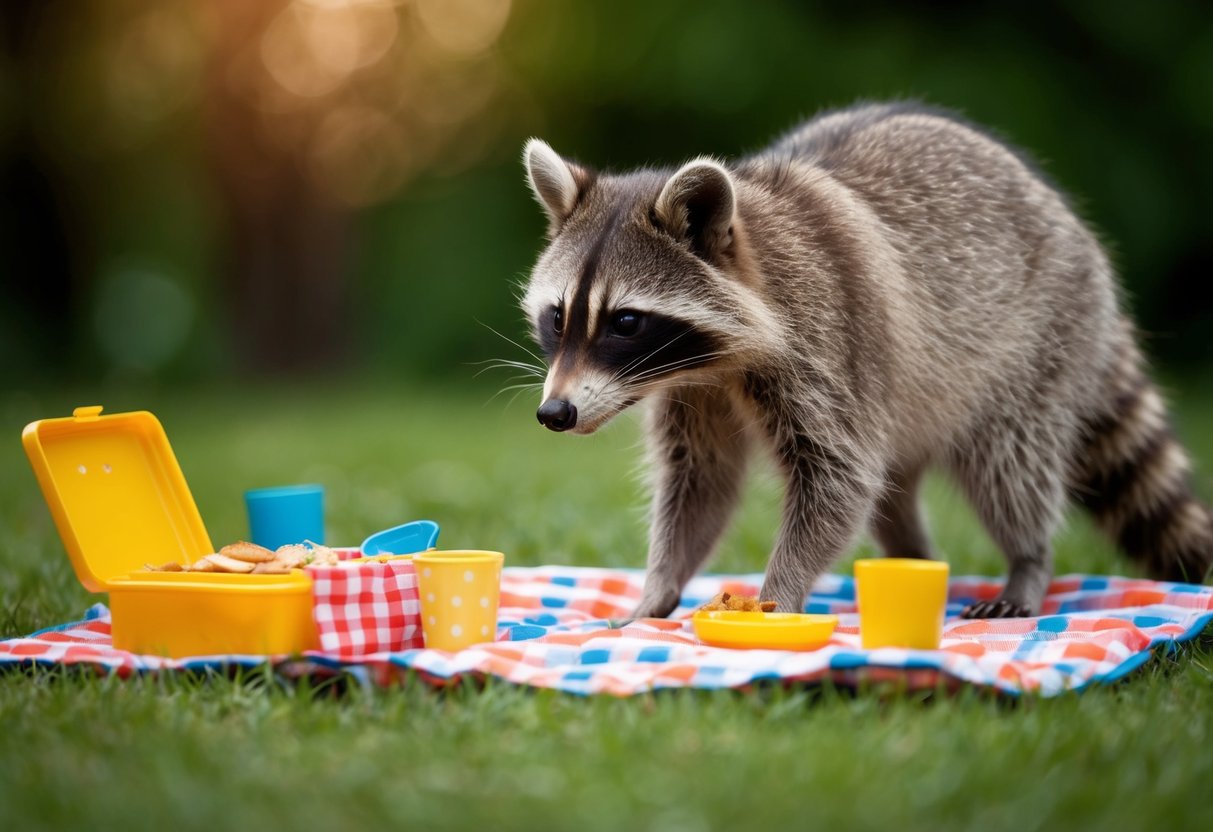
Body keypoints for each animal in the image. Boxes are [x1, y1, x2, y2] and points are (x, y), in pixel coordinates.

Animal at [519, 102, 1213, 619]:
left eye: (624, 322)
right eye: (557, 317)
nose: (555, 413)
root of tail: (1071, 224)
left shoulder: (827, 343)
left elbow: (838, 477)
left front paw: (777, 597)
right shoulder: (694, 389)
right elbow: (700, 481)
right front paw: (659, 589)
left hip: (1041, 339)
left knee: (1010, 461)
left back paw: (1027, 561)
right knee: (897, 481)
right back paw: (911, 559)